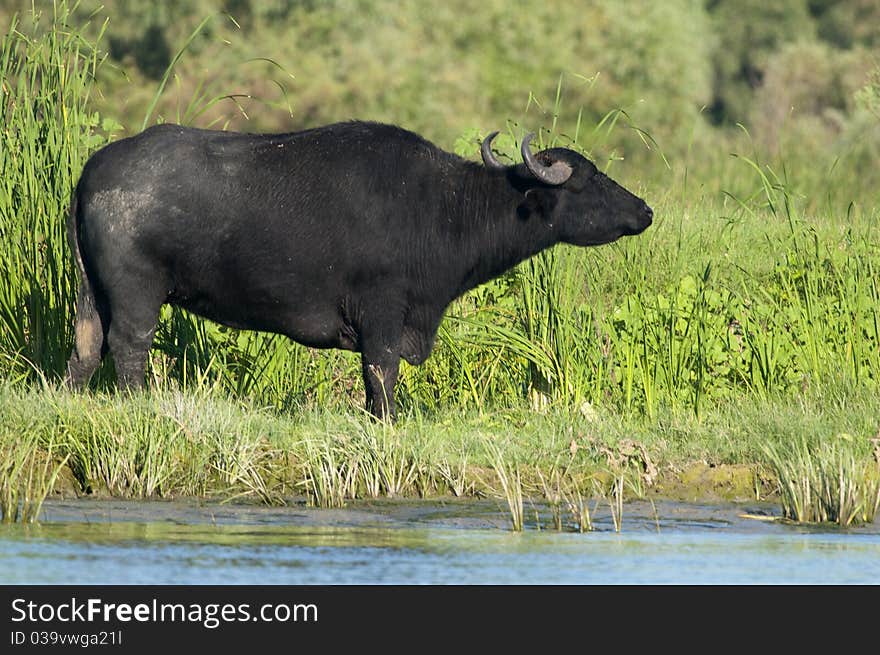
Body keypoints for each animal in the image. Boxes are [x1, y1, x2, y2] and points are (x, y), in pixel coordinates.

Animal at [65, 121, 648, 420]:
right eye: (588, 179)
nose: (644, 210)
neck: (444, 210)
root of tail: (93, 172)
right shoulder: (383, 315)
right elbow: (381, 377)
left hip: (91, 294)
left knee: (86, 349)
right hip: (138, 294)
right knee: (129, 348)